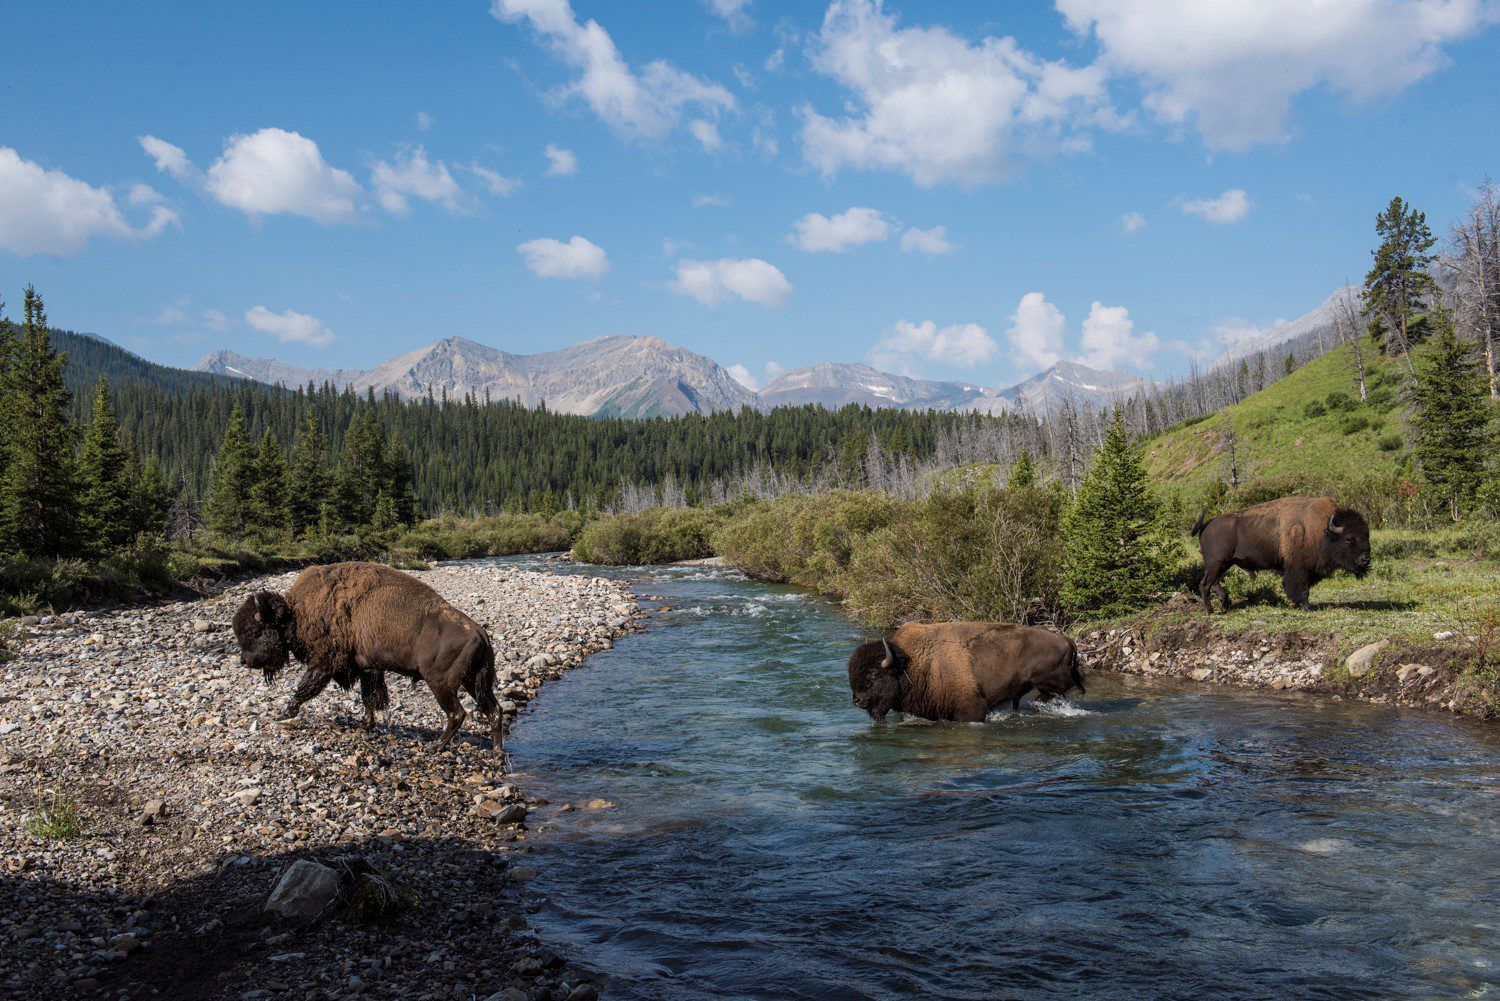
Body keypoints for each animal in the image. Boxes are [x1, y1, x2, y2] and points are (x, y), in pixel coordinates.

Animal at [231, 562, 503, 756]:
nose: (244, 661)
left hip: (441, 683)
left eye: (255, 631)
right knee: (494, 710)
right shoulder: (366, 668)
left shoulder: (325, 663)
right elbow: (368, 697)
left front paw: (285, 712)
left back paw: (436, 746)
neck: (297, 613)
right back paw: (497, 752)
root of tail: (479, 631)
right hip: (474, 682)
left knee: (457, 713)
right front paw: (367, 723)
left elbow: (306, 687)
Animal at [847, 621, 1084, 723]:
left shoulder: (971, 709)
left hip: (1051, 684)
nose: (856, 700)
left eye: (874, 674)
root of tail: (1066, 639)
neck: (915, 664)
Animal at [1192, 495, 1370, 612]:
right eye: (1348, 539)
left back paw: (1224, 603)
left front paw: (1296, 605)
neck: (1323, 530)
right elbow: (1302, 589)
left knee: (1213, 581)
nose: (1365, 559)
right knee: (1205, 583)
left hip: (1221, 564)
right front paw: (1306, 607)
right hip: (1218, 563)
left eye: (1366, 535)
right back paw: (1210, 611)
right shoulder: (1298, 568)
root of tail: (1209, 521)